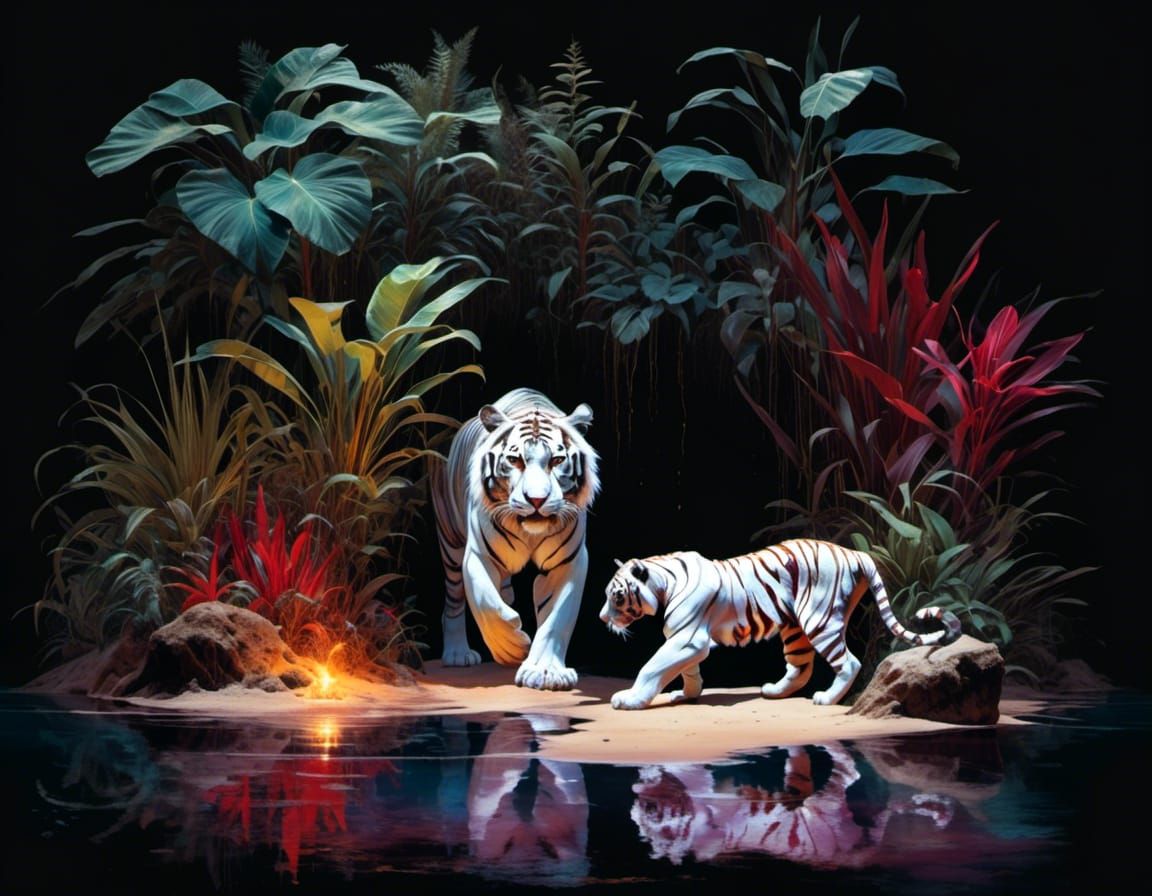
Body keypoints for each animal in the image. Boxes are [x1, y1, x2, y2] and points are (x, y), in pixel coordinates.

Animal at [430, 387, 600, 690]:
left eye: (557, 461)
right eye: (515, 460)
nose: (536, 500)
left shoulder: (568, 562)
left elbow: (557, 619)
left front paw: (546, 672)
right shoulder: (478, 555)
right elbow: (487, 605)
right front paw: (512, 647)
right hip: (451, 542)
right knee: (454, 599)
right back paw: (458, 653)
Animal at [599, 538, 961, 710]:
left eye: (617, 596)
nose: (602, 618)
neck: (665, 583)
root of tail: (856, 553)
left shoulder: (688, 638)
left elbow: (652, 667)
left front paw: (630, 699)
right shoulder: (686, 641)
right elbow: (687, 670)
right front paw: (687, 694)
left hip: (819, 620)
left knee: (849, 662)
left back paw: (827, 699)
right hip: (794, 626)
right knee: (801, 667)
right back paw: (774, 691)